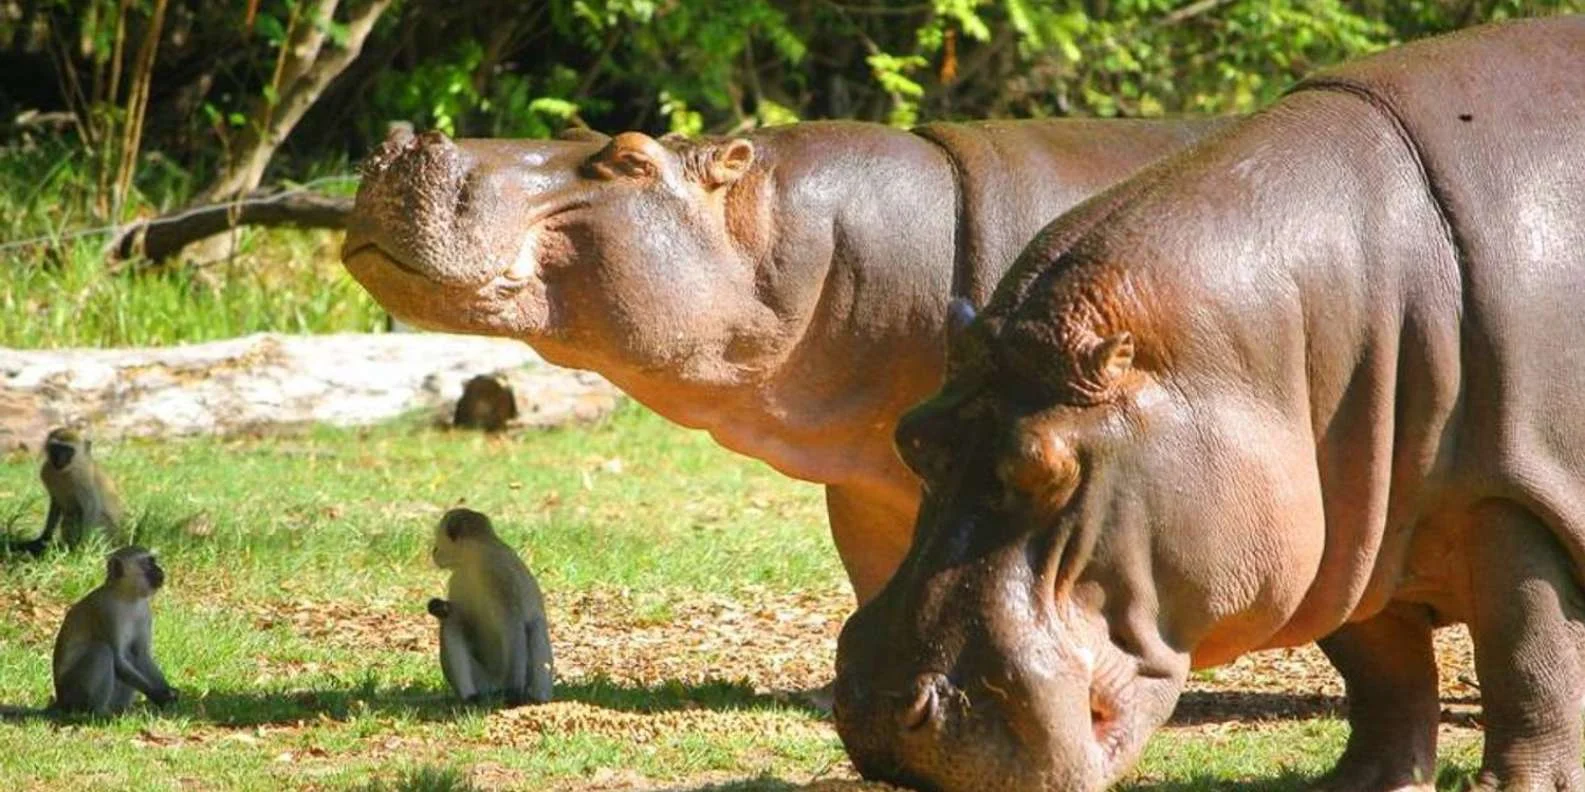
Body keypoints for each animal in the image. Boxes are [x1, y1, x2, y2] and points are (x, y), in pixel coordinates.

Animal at [6, 428, 126, 556]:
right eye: (56, 447)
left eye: (68, 450)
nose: (59, 458)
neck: (66, 471)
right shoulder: (46, 471)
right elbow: (55, 503)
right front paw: (43, 539)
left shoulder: (83, 476)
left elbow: (91, 507)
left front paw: (83, 547)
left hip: (108, 532)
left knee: (78, 516)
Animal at [50, 546, 177, 715]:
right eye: (148, 563)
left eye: (153, 561)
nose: (159, 570)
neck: (127, 598)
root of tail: (60, 700)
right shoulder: (106, 611)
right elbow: (118, 660)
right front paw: (159, 696)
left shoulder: (144, 611)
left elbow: (141, 656)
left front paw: (167, 690)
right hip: (73, 690)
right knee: (102, 651)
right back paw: (98, 712)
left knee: (129, 655)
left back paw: (121, 710)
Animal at [427, 508, 553, 707]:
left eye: (439, 542)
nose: (434, 551)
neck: (475, 557)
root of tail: (495, 687)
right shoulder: (457, 578)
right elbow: (461, 617)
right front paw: (437, 607)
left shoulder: (499, 575)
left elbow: (513, 627)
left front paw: (514, 692)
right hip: (483, 680)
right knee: (451, 622)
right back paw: (470, 698)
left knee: (535, 627)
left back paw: (530, 697)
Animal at [831, 15, 1585, 791]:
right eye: (913, 437)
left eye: (1048, 469)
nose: (885, 705)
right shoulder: (1338, 526)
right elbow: (1381, 666)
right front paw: (1360, 783)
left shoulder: (1512, 497)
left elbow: (1526, 650)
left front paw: (1520, 786)